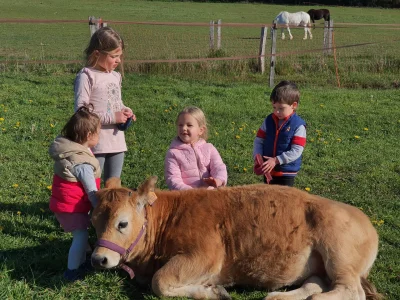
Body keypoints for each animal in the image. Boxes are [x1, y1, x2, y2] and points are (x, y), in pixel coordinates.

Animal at [90, 177, 382, 298]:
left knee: (351, 292)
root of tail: (366, 220)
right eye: (93, 222)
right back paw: (278, 298)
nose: (98, 259)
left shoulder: (205, 255)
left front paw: (213, 291)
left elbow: (160, 282)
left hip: (339, 254)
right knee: (316, 283)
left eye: (122, 223)